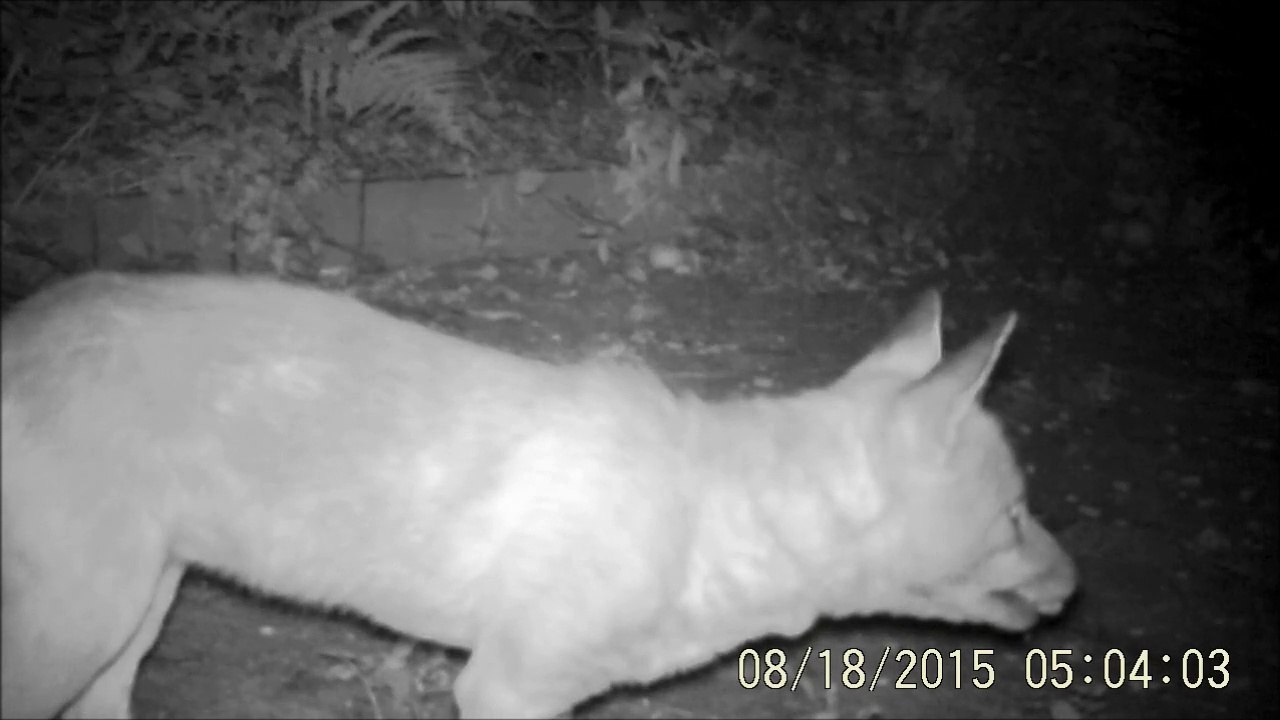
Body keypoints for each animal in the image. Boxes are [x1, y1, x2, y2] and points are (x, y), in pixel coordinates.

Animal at [1, 271, 1077, 719]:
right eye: (1017, 513)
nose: (1076, 582)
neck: (710, 528)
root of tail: (26, 322)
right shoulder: (506, 687)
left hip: (136, 615)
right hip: (77, 626)